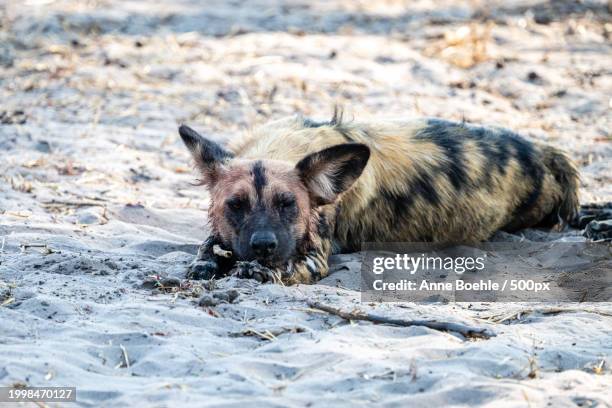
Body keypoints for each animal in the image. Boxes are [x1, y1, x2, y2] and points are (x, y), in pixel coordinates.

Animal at [176, 111, 580, 284]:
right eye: (236, 206)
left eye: (287, 205)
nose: (263, 245)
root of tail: (545, 152)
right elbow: (208, 244)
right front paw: (207, 263)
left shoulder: (314, 258)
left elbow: (286, 267)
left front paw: (257, 269)